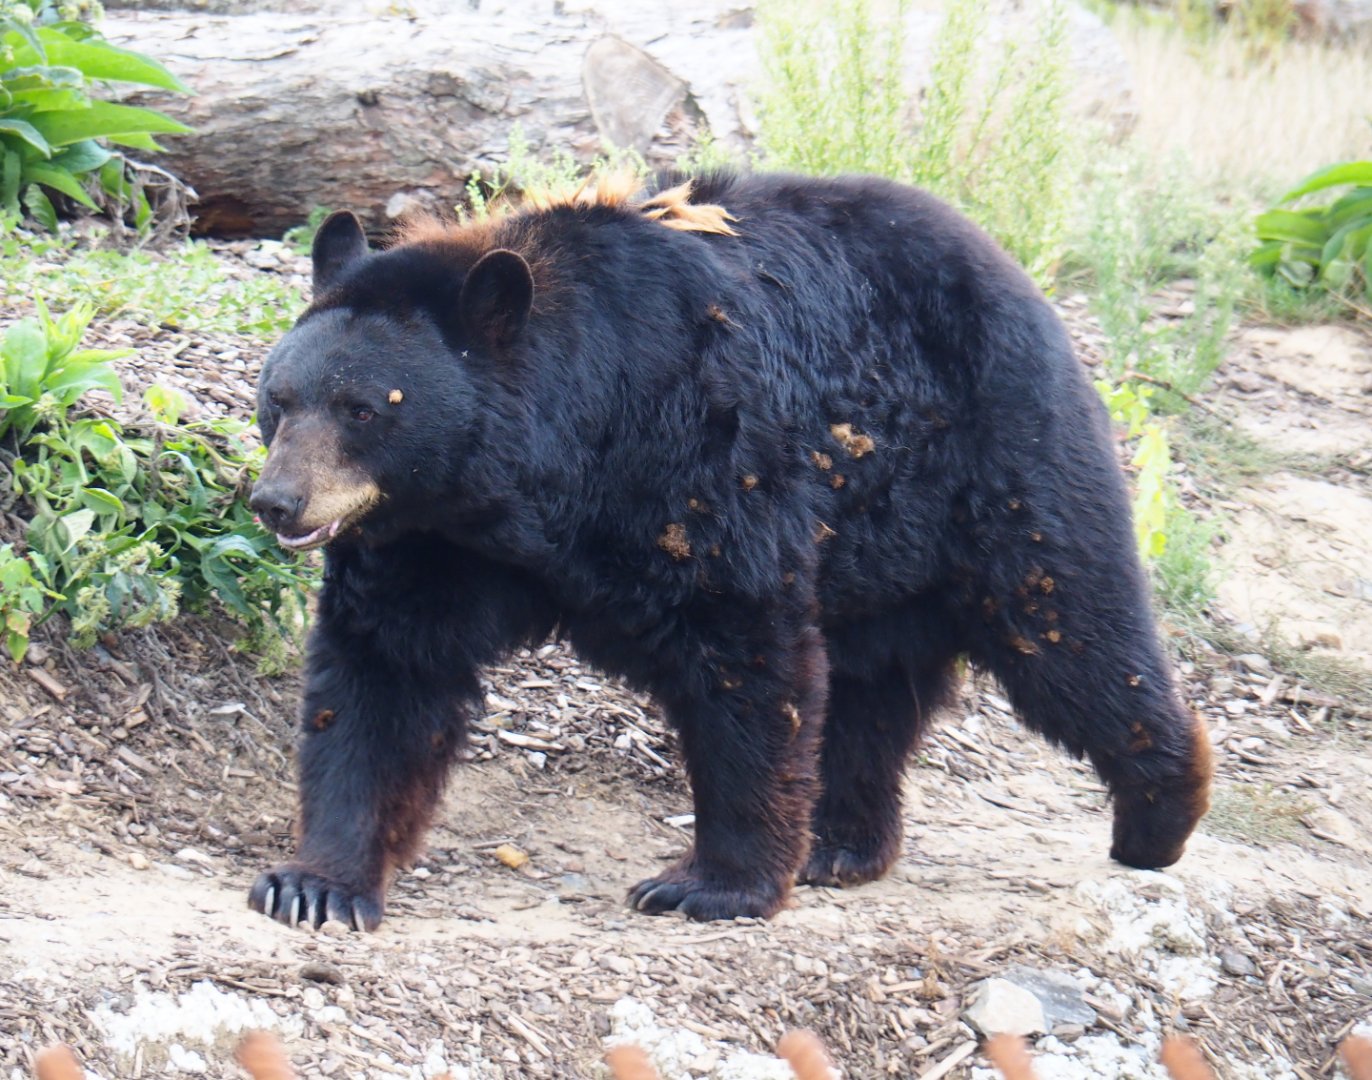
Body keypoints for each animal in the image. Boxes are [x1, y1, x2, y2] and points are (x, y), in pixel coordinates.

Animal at [246, 170, 1211, 931]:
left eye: (366, 408)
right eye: (277, 399)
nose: (276, 501)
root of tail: (1020, 275)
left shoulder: (696, 461)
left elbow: (745, 655)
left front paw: (710, 885)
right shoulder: (430, 541)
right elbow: (384, 674)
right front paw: (316, 883)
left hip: (1000, 462)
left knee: (1071, 630)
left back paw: (1159, 814)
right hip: (878, 550)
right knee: (872, 691)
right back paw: (840, 843)